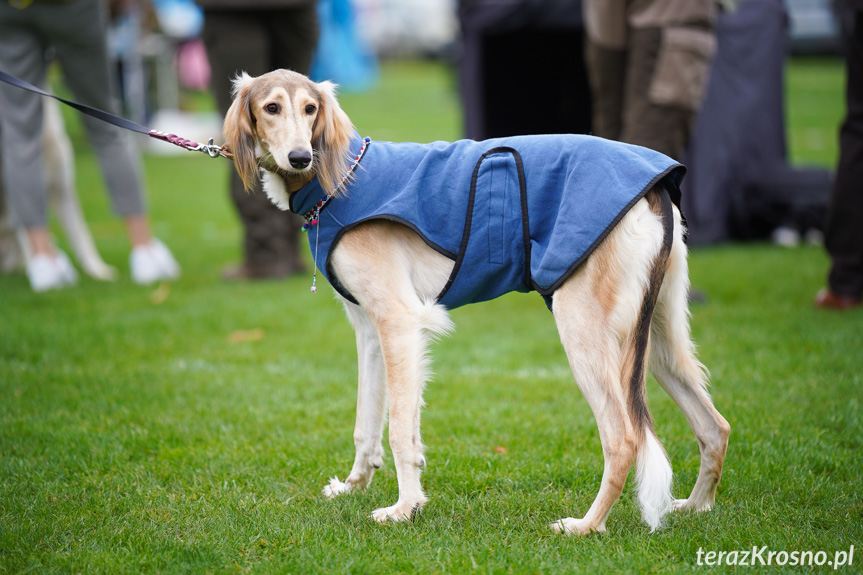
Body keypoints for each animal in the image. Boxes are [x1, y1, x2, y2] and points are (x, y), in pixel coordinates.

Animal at [223, 71, 728, 536]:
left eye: (310, 109)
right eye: (271, 108)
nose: (300, 157)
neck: (340, 176)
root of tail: (655, 187)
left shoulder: (399, 321)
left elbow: (398, 425)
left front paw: (404, 508)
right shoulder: (369, 329)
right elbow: (368, 420)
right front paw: (354, 486)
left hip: (584, 327)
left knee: (624, 438)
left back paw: (587, 525)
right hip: (655, 336)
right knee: (715, 427)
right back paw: (695, 506)